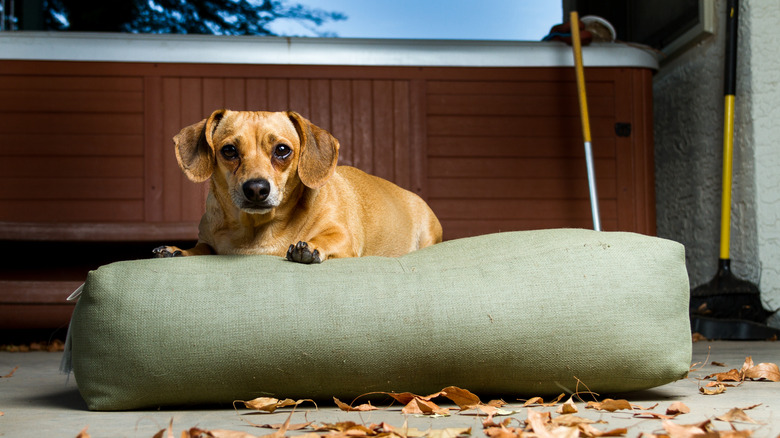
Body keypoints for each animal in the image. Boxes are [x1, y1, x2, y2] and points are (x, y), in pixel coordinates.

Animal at [152, 109, 442, 264]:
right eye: (229, 150)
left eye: (282, 150)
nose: (256, 189)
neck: (256, 231)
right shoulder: (208, 242)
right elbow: (201, 248)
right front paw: (178, 250)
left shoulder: (342, 236)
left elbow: (325, 238)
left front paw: (309, 247)